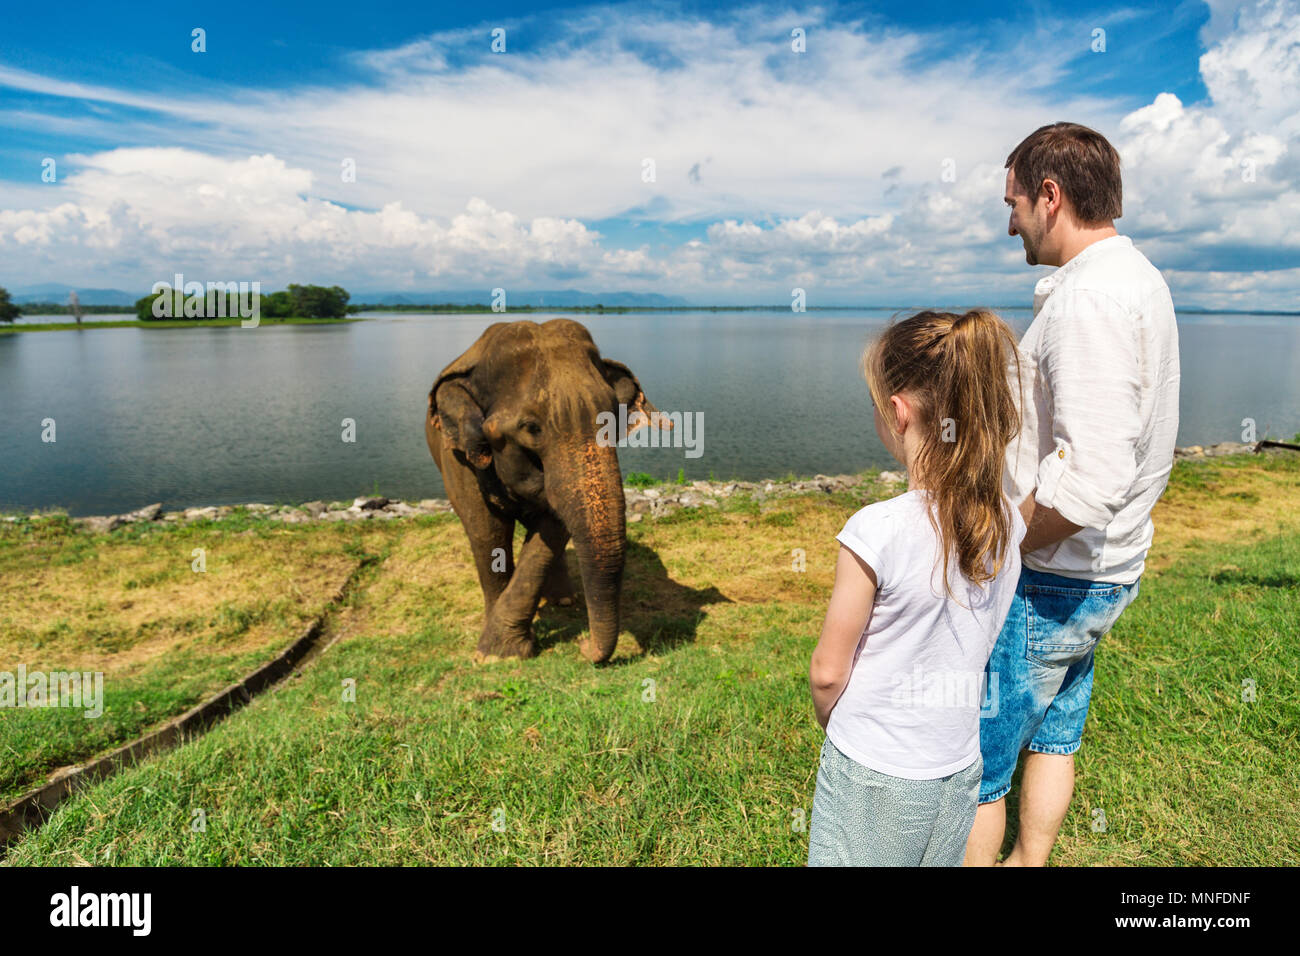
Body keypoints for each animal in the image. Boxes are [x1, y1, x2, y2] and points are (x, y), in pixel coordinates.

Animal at [423, 317, 670, 660]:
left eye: (614, 418)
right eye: (531, 428)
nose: (583, 645)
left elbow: (553, 523)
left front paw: (501, 649)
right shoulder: (459, 456)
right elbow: (486, 530)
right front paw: (495, 654)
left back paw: (563, 601)